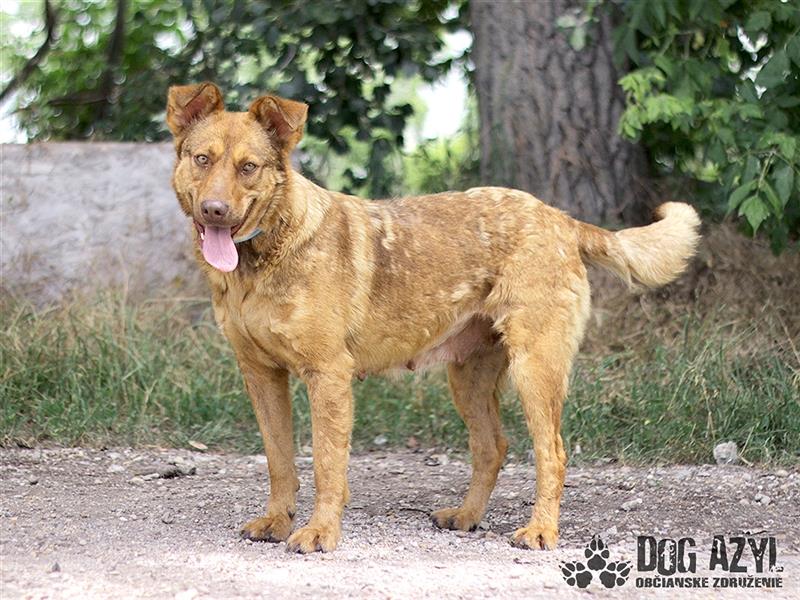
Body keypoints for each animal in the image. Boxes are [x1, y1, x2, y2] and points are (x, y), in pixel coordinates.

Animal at [166, 83, 696, 552]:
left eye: (249, 167)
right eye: (202, 159)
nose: (214, 210)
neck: (262, 259)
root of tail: (562, 219)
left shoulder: (327, 374)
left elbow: (326, 464)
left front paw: (320, 532)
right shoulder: (261, 374)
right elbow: (279, 460)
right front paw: (278, 522)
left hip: (535, 369)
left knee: (553, 454)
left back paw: (540, 531)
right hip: (469, 377)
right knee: (492, 447)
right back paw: (467, 516)